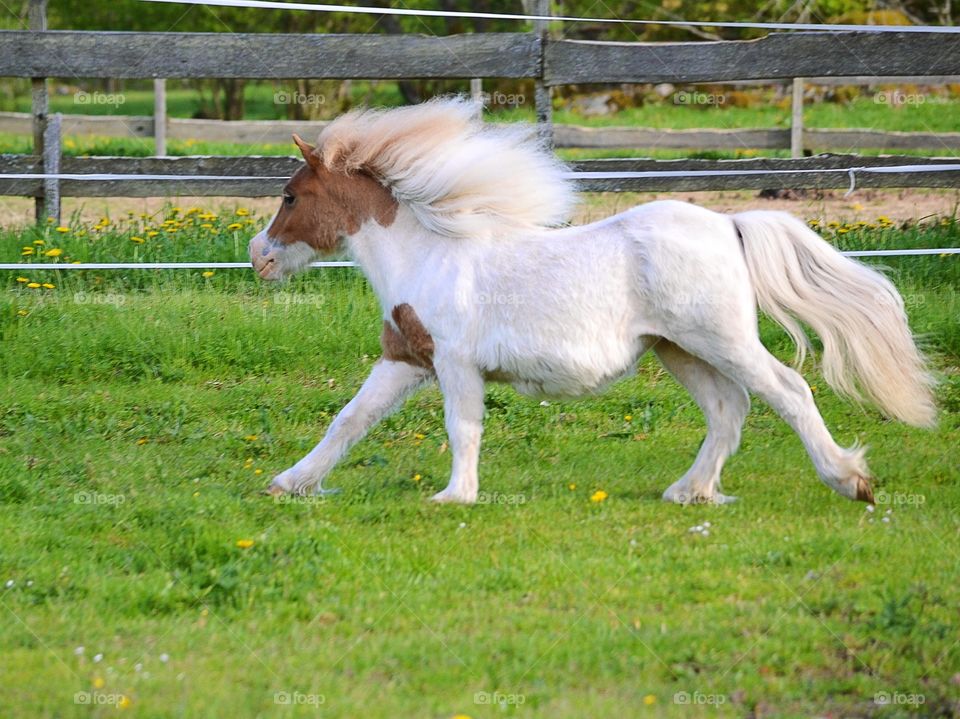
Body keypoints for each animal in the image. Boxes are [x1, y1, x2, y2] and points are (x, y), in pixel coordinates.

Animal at [249, 97, 935, 505]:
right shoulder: (406, 360)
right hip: (680, 350)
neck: (429, 255)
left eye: (289, 196)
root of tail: (729, 224)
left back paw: (850, 481)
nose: (260, 257)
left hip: (723, 340)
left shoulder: (454, 364)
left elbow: (462, 427)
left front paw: (455, 496)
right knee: (728, 410)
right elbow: (350, 419)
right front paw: (289, 483)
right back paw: (689, 492)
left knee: (787, 392)